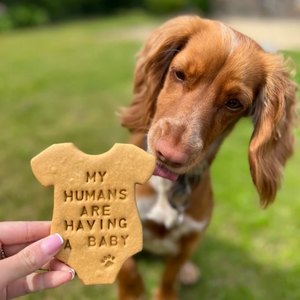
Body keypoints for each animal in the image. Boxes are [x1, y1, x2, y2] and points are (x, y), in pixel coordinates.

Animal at [118, 16, 298, 300]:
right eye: (179, 74)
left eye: (234, 103)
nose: (170, 155)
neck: (166, 187)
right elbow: (127, 268)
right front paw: (132, 291)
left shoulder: (191, 238)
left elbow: (169, 276)